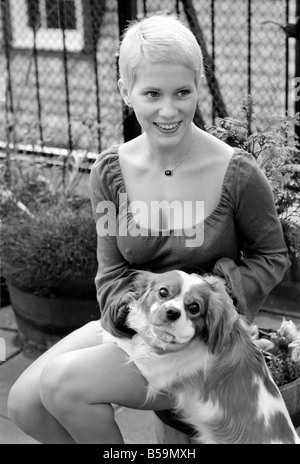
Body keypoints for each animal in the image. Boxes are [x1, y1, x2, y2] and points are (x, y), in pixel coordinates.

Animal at [99, 270, 300, 444]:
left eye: (194, 307)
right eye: (163, 292)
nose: (172, 312)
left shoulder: (154, 370)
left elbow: (130, 345)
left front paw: (106, 332)